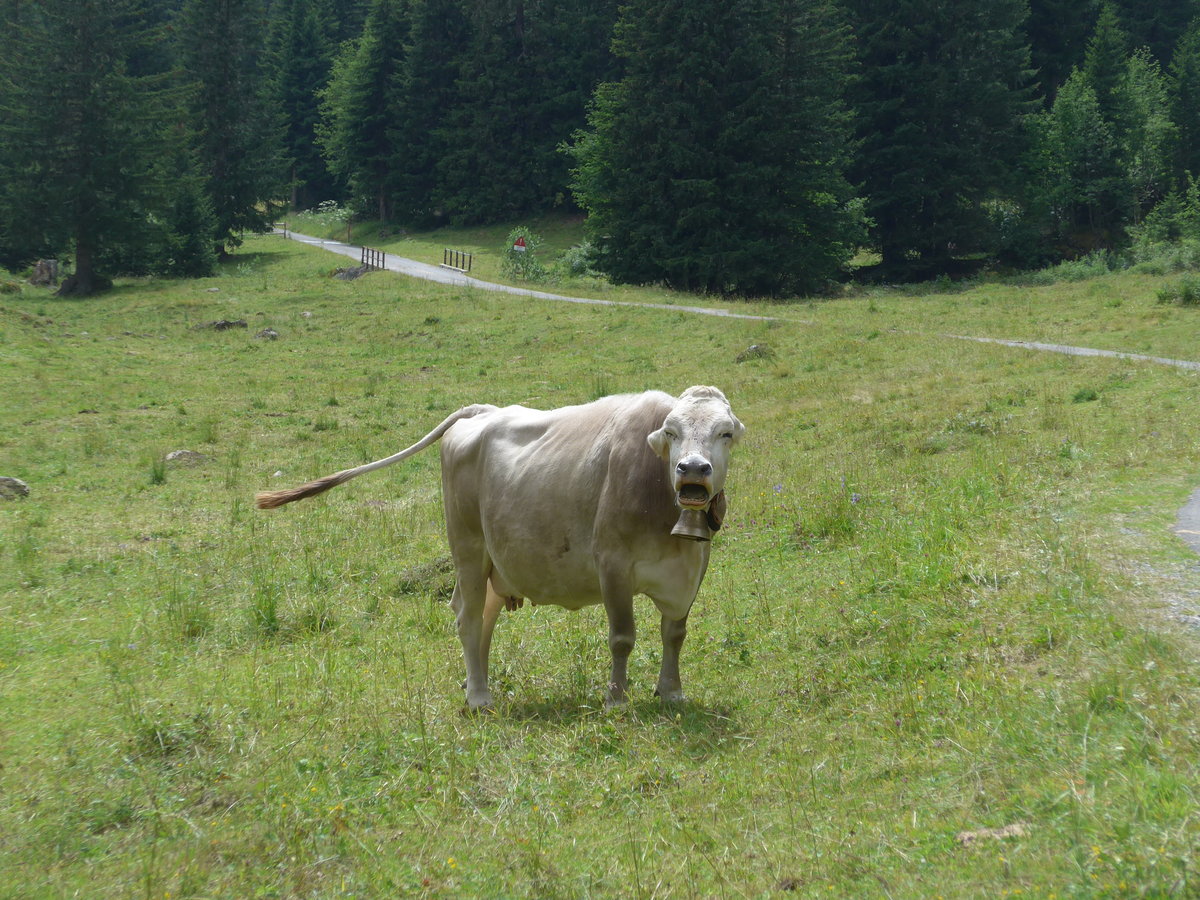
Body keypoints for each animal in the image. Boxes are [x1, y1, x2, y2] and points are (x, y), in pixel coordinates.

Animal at [256, 386, 744, 710]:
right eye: (671, 431)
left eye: (724, 433)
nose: (692, 469)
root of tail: (484, 410)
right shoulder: (612, 565)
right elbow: (622, 637)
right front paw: (617, 700)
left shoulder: (692, 569)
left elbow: (675, 634)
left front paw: (672, 691)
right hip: (467, 545)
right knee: (469, 617)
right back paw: (479, 697)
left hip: (496, 562)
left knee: (482, 619)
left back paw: (477, 681)